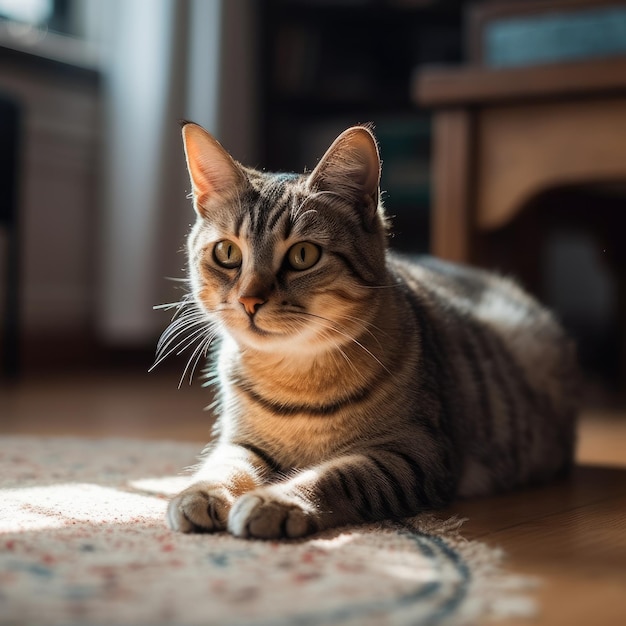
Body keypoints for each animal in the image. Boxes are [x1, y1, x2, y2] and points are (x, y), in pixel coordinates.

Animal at [161, 120, 576, 536]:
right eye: (227, 253)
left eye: (303, 255)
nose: (249, 300)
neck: (295, 375)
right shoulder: (242, 441)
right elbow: (224, 465)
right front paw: (202, 491)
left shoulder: (413, 452)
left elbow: (334, 477)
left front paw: (277, 500)